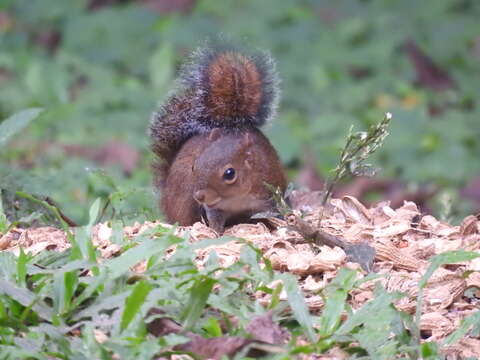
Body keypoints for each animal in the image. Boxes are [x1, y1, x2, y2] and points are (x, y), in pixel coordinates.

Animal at [148, 45, 286, 232]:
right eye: (194, 166)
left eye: (230, 174)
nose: (199, 196)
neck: (236, 198)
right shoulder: (214, 208)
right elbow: (215, 220)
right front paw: (216, 233)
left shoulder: (268, 196)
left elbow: (272, 216)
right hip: (182, 196)